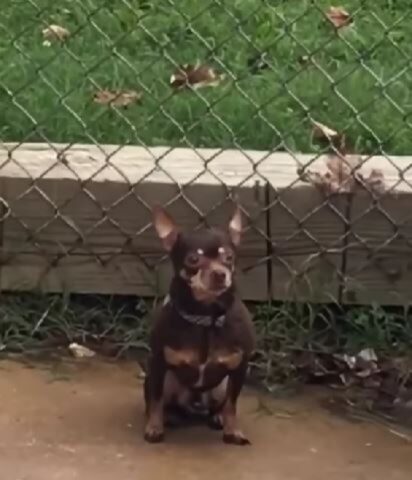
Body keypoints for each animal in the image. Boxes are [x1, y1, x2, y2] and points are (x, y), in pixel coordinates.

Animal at [144, 204, 254, 444]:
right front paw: (154, 427)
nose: (220, 274)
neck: (206, 318)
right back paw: (170, 416)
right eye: (193, 259)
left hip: (219, 387)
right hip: (166, 380)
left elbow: (232, 404)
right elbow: (155, 399)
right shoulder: (157, 363)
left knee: (221, 404)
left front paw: (233, 430)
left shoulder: (239, 367)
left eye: (229, 257)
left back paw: (217, 418)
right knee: (162, 401)